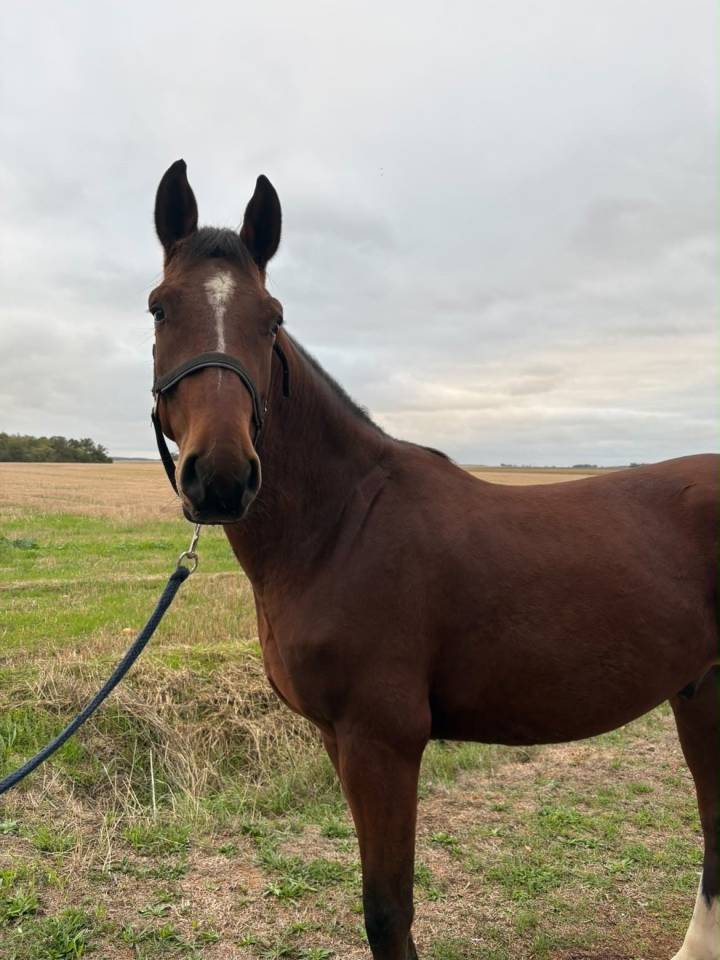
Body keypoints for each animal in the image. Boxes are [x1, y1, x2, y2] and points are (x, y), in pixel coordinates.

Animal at [148, 159, 719, 960]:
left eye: (272, 318)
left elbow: (388, 910)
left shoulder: (383, 742)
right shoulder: (339, 741)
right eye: (160, 310)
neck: (341, 526)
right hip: (702, 691)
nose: (222, 477)